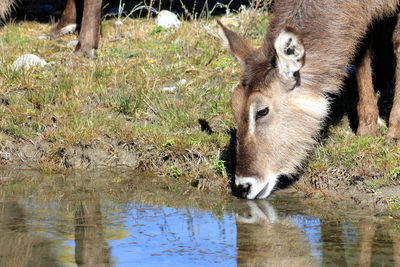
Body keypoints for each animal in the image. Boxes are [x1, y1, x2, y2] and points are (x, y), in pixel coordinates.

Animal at [219, 0, 400, 200]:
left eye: (262, 111)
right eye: (234, 106)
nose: (244, 186)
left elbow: (397, 43)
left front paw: (394, 132)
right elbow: (362, 47)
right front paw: (366, 129)